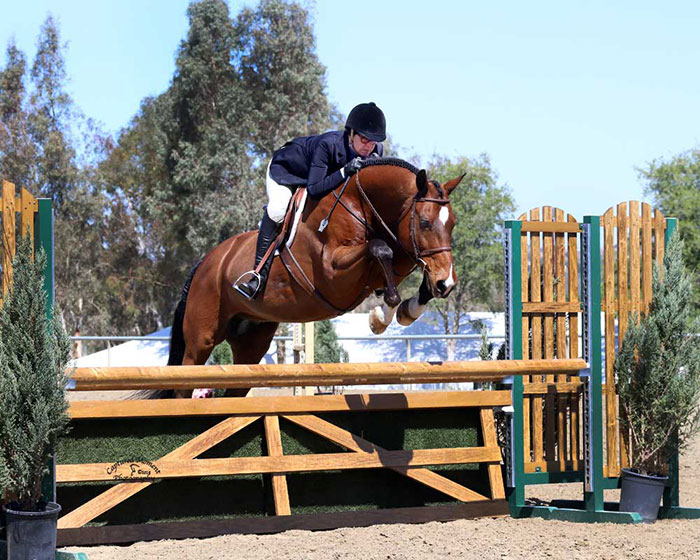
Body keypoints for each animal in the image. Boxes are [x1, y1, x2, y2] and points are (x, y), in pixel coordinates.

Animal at [164, 156, 460, 394]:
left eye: (453, 224)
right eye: (425, 222)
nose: (447, 284)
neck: (359, 203)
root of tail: (204, 263)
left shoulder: (399, 254)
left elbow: (403, 263)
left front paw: (405, 310)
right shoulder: (333, 274)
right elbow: (380, 249)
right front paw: (381, 316)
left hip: (252, 343)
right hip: (201, 339)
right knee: (183, 383)